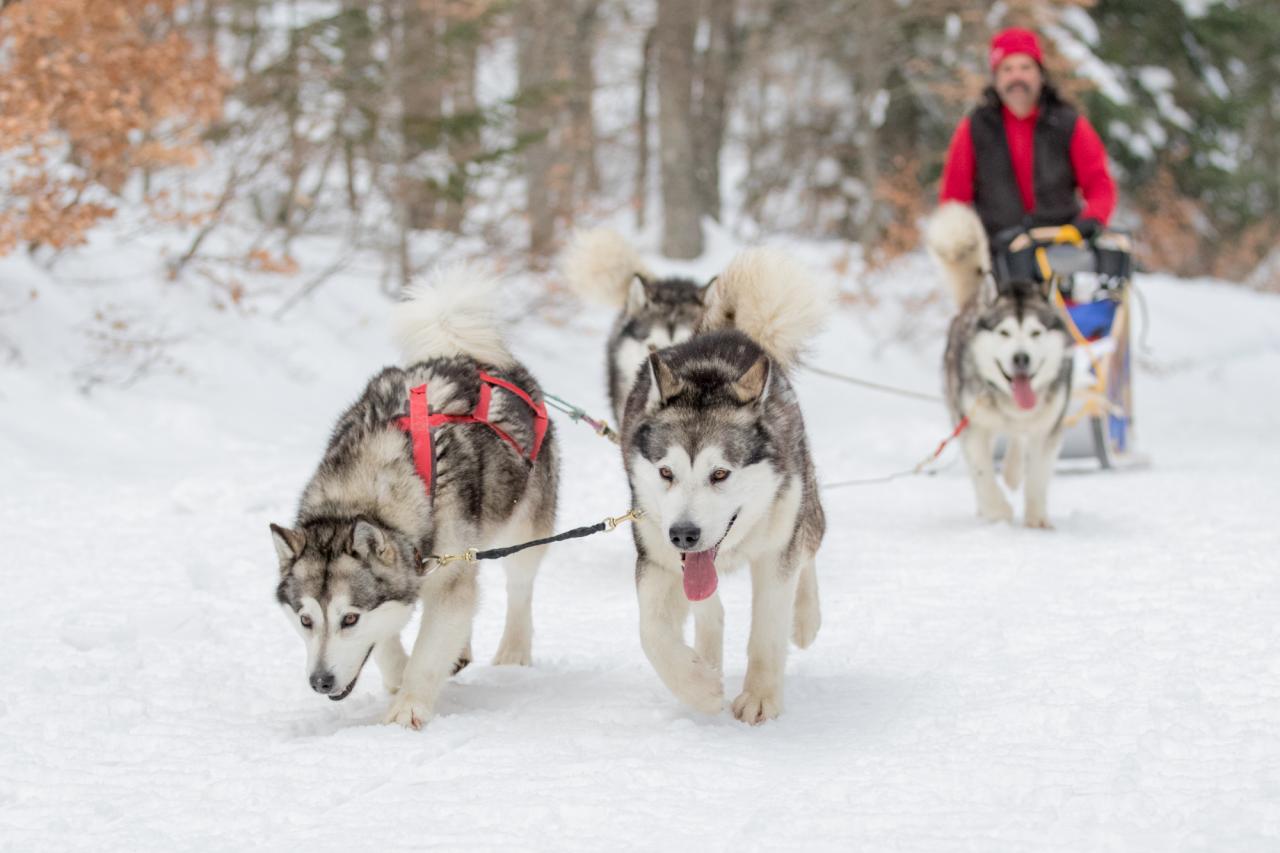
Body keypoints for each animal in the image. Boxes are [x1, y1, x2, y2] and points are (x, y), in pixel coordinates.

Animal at [270, 263, 555, 722]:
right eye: (306, 620)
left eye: (349, 619)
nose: (320, 682)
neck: (367, 489)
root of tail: (467, 354)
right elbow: (390, 639)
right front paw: (397, 676)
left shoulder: (448, 573)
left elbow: (429, 649)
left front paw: (407, 708)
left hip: (525, 527)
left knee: (519, 587)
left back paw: (514, 648)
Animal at [619, 249, 829, 722]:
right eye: (666, 473)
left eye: (720, 474)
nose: (684, 533)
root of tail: (730, 330)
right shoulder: (656, 558)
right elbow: (650, 632)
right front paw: (698, 687)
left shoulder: (776, 554)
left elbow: (768, 629)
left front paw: (761, 697)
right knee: (709, 612)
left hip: (803, 507)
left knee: (808, 550)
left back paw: (806, 619)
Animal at [926, 204, 1075, 525]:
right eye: (1004, 332)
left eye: (1035, 333)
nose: (1021, 358)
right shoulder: (973, 425)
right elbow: (982, 472)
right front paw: (997, 511)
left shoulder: (1048, 429)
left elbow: (1038, 475)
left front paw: (1036, 519)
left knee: (1017, 442)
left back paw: (1013, 472)